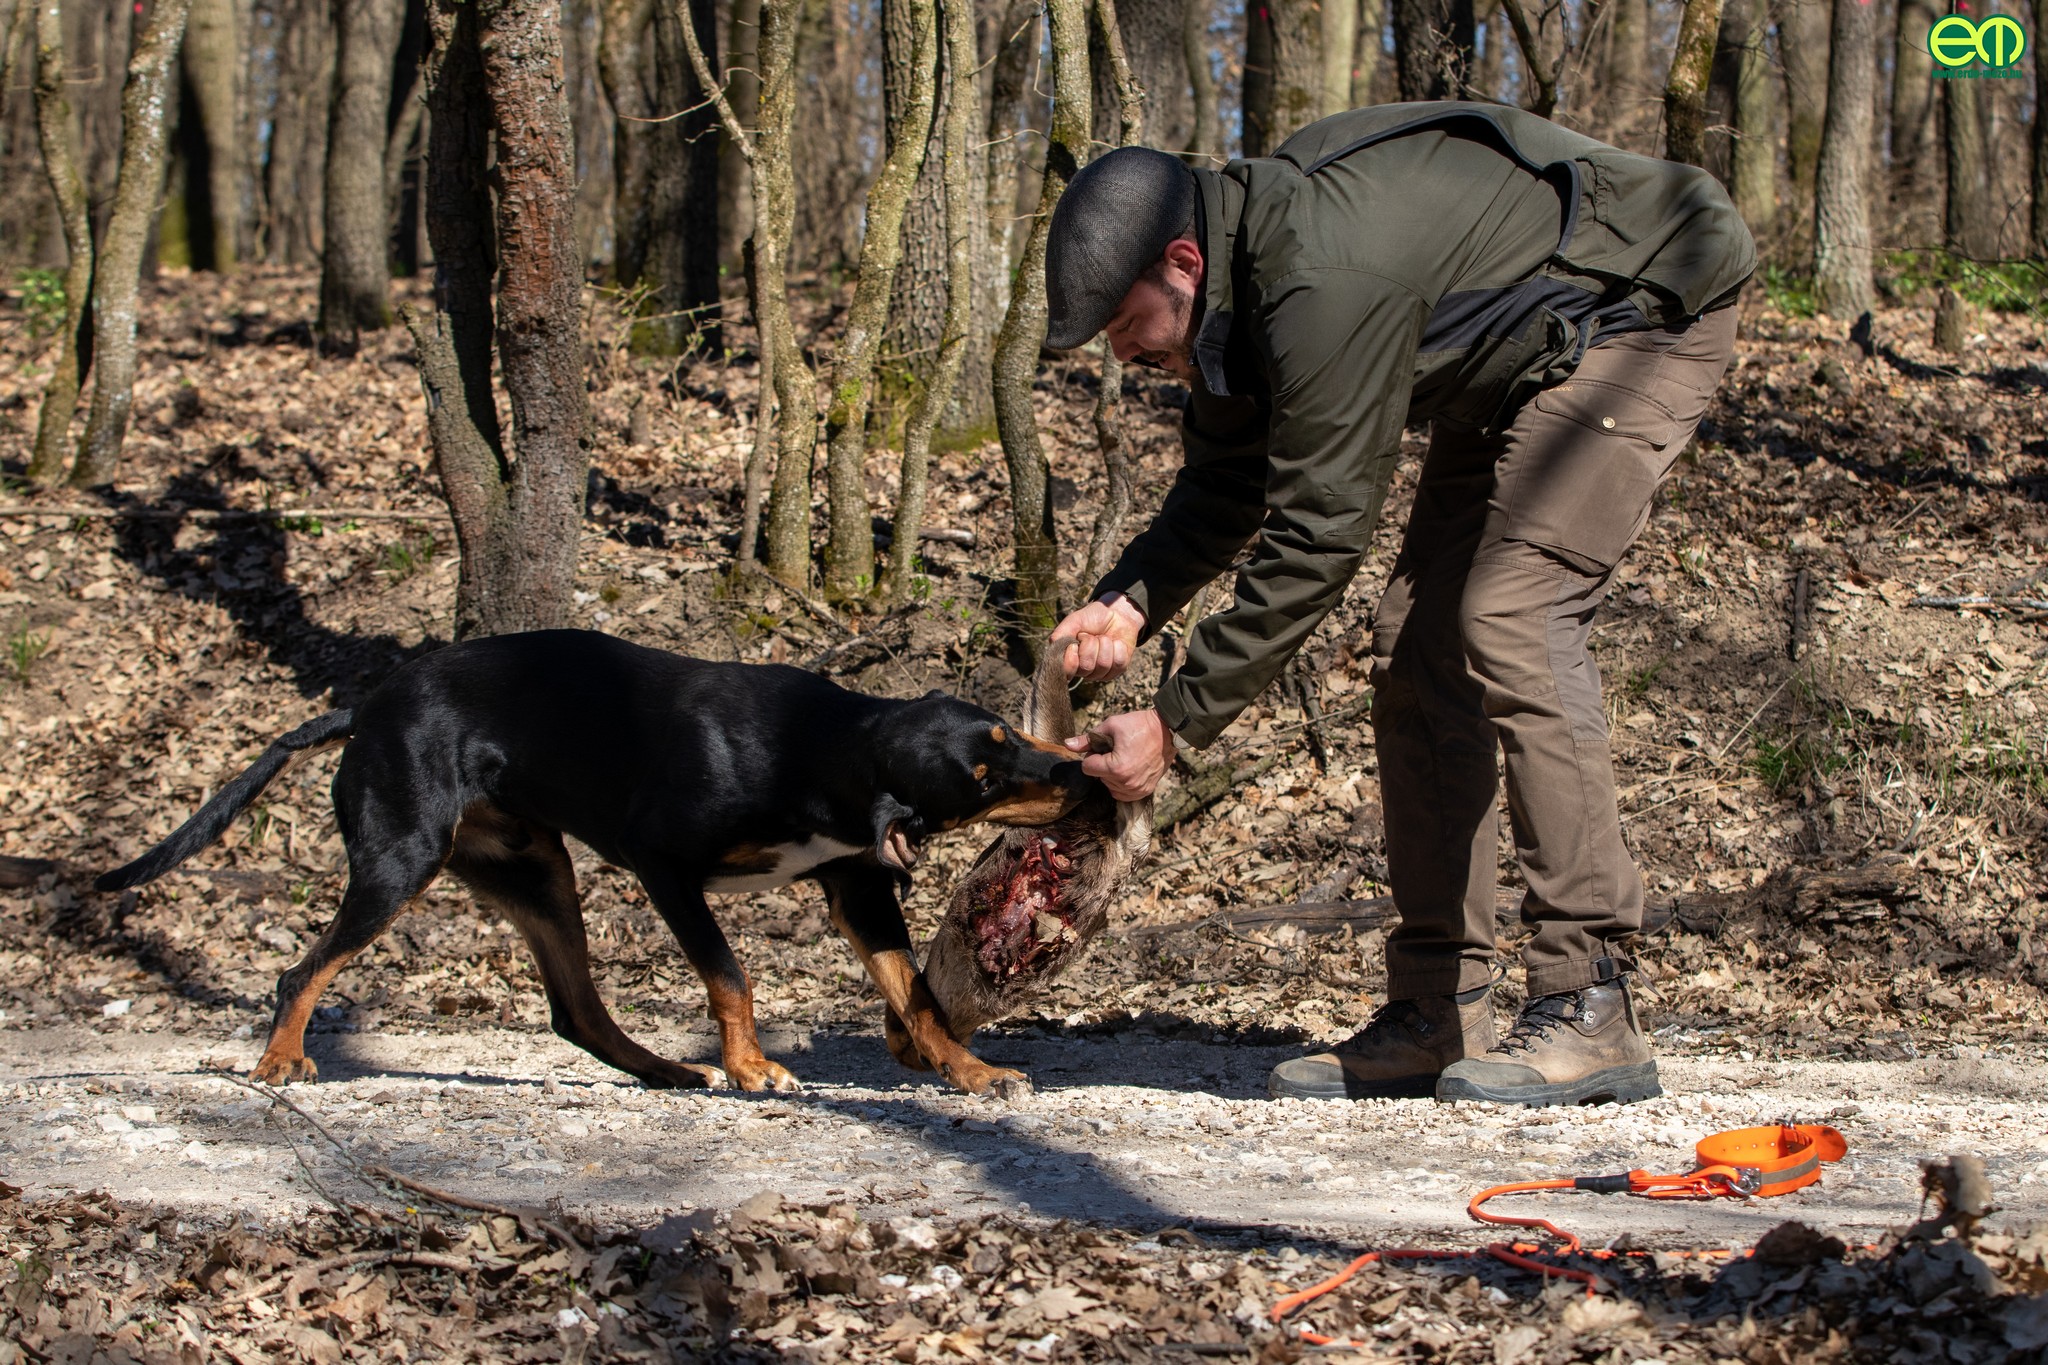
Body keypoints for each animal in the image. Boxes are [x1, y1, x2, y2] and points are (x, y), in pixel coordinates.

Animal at [97, 630, 1094, 1095]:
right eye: (983, 775)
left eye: (1007, 736)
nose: (1080, 772)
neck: (824, 747)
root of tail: (365, 710)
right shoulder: (666, 867)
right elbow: (730, 974)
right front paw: (753, 1067)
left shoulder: (857, 889)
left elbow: (918, 995)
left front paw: (970, 1072)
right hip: (400, 862)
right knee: (299, 970)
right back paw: (281, 1058)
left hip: (538, 873)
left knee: (575, 1008)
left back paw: (668, 1072)